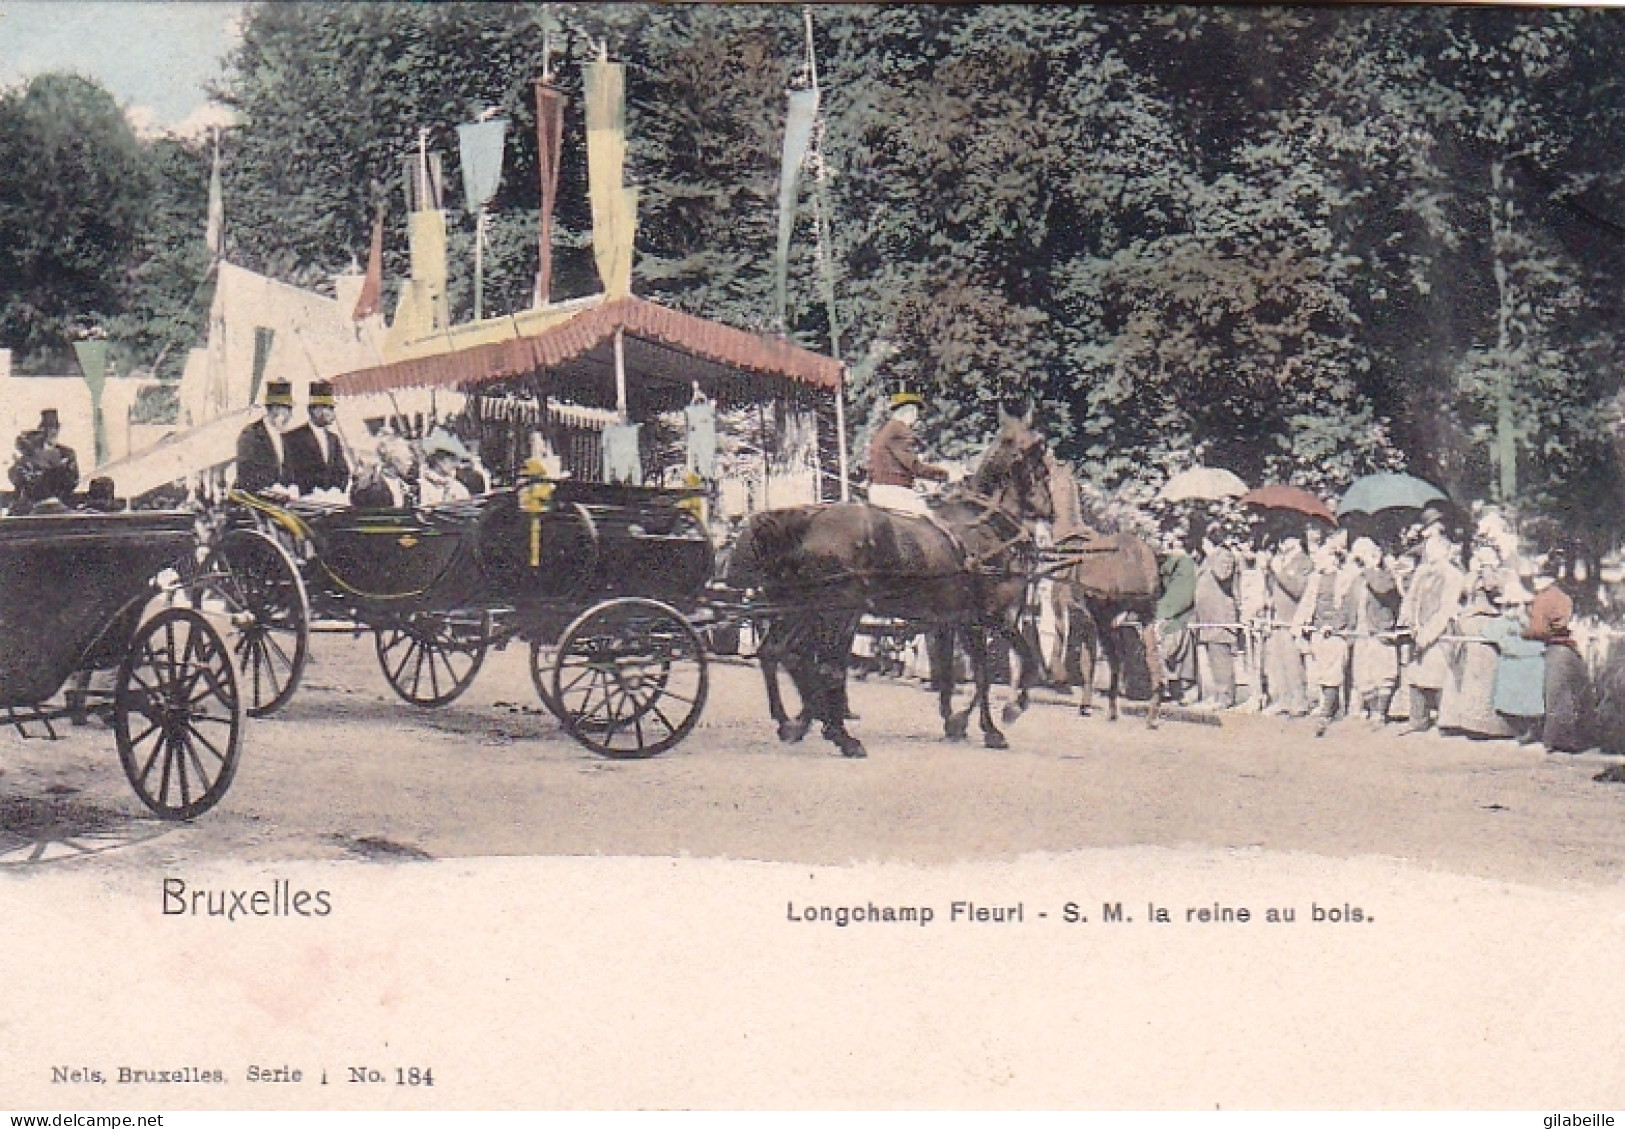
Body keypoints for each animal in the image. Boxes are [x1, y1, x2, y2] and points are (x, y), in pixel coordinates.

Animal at [728, 415, 1053, 760]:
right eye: (1042, 464)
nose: (1049, 512)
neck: (983, 525)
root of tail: (805, 519)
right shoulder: (990, 617)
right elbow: (1013, 665)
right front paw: (1000, 717)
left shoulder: (953, 621)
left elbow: (956, 674)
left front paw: (959, 721)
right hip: (840, 613)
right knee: (825, 667)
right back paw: (838, 735)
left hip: (801, 611)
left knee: (778, 654)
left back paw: (794, 721)